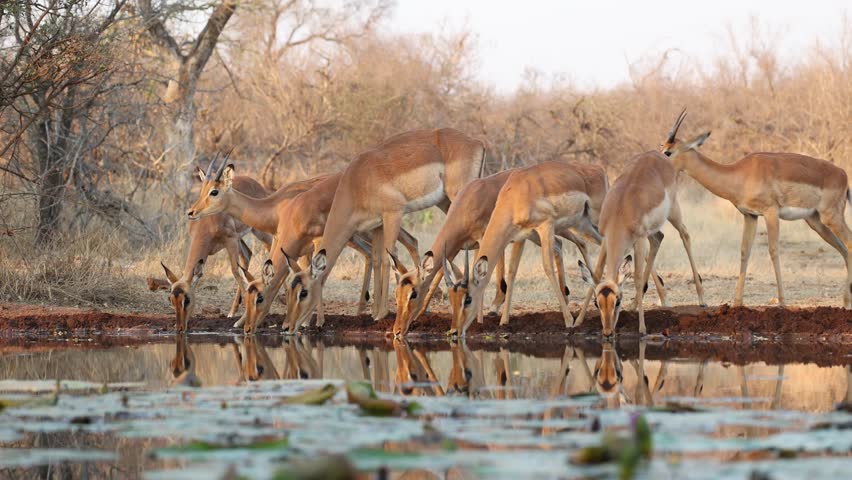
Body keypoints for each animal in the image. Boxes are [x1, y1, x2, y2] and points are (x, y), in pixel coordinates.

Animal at [187, 160, 419, 333]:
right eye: (202, 189)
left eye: (214, 191)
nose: (191, 212)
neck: (277, 206)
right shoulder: (285, 242)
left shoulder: (311, 242)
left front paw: (312, 322)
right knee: (387, 250)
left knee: (403, 245)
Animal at [282, 128, 486, 334]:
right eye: (289, 290)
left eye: (303, 292)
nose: (287, 326)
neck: (357, 182)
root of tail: (477, 142)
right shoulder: (378, 224)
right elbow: (378, 259)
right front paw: (374, 314)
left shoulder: (393, 214)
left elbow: (389, 259)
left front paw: (381, 314)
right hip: (445, 202)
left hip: (458, 198)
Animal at [577, 121, 707, 336]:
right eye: (597, 303)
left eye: (617, 301)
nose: (607, 332)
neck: (620, 212)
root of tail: (658, 155)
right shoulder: (606, 239)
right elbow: (595, 273)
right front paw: (577, 321)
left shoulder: (638, 239)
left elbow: (637, 279)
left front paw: (642, 328)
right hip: (651, 232)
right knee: (659, 238)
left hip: (672, 212)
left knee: (685, 234)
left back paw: (702, 300)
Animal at [662, 109, 852, 308]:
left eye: (668, 152)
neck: (739, 174)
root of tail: (842, 174)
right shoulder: (750, 216)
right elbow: (745, 251)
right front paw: (737, 302)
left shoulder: (771, 212)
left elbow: (773, 251)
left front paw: (782, 301)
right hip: (816, 221)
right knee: (844, 249)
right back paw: (846, 301)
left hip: (831, 217)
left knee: (849, 244)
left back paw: (846, 301)